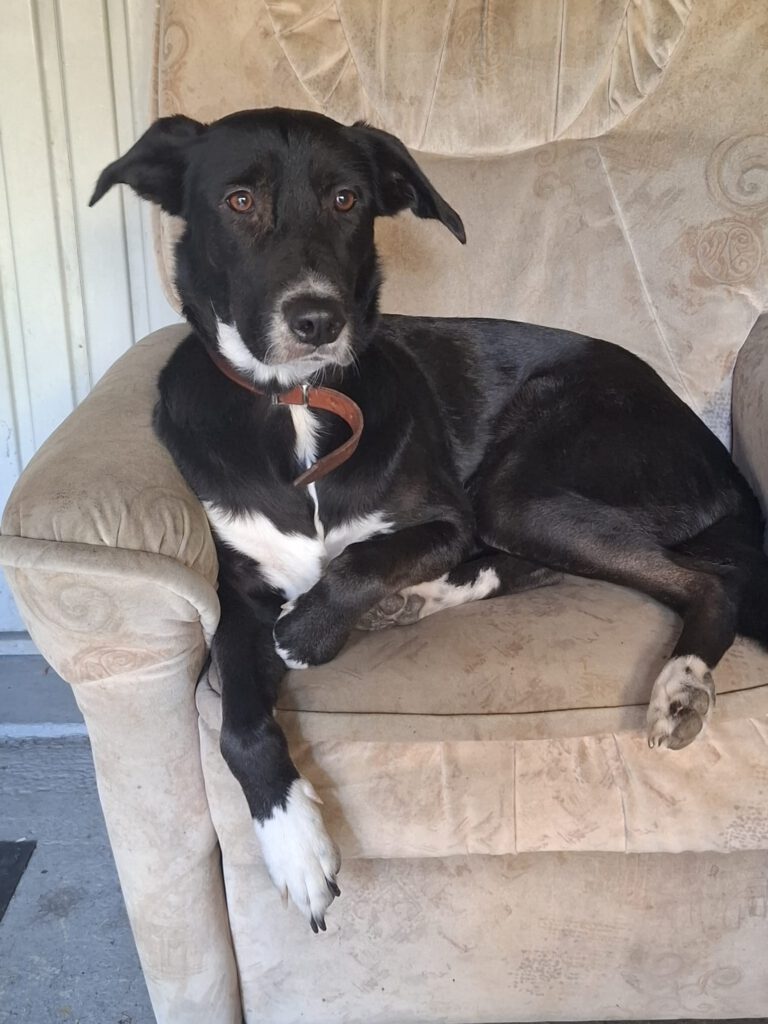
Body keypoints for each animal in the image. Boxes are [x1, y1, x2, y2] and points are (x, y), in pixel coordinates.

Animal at [90, 107, 768, 932]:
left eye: (347, 199)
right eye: (239, 201)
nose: (317, 319)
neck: (299, 408)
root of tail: (717, 454)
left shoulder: (445, 518)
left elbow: (360, 560)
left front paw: (311, 631)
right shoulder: (236, 599)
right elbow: (241, 725)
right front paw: (295, 846)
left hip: (522, 487)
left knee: (708, 581)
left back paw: (682, 683)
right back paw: (423, 601)